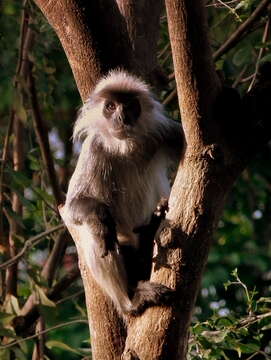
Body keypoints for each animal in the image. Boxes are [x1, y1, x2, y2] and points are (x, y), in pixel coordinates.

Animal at [65, 69, 185, 316]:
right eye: (110, 107)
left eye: (130, 106)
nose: (121, 117)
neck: (125, 146)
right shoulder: (94, 148)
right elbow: (73, 207)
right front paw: (100, 217)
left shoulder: (163, 131)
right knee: (98, 234)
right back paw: (131, 301)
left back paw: (156, 219)